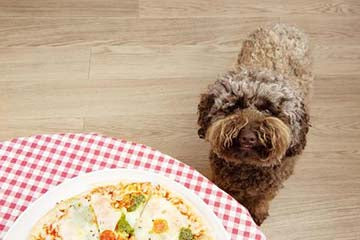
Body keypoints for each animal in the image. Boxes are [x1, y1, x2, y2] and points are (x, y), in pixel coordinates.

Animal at [197, 24, 312, 225]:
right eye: (235, 106)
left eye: (268, 109)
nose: (248, 138)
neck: (248, 167)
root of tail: (283, 25)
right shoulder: (222, 179)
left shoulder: (271, 185)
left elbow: (262, 198)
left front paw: (257, 212)